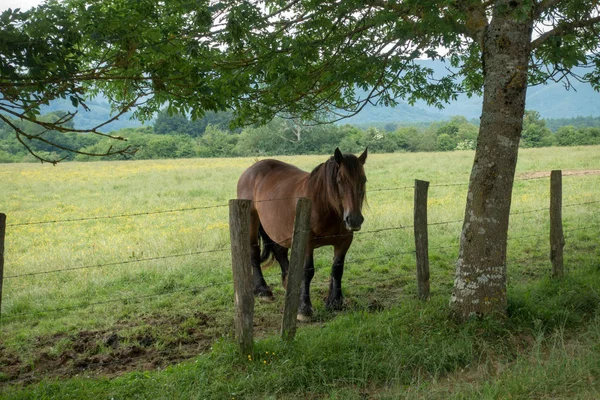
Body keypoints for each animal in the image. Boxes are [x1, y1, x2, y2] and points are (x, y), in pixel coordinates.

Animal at [237, 148, 368, 320]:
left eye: (364, 180)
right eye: (340, 181)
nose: (354, 219)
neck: (324, 205)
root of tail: (250, 170)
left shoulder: (344, 241)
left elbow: (337, 269)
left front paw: (335, 302)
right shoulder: (307, 243)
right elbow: (308, 271)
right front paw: (304, 309)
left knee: (280, 252)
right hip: (252, 221)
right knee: (253, 252)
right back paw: (263, 290)